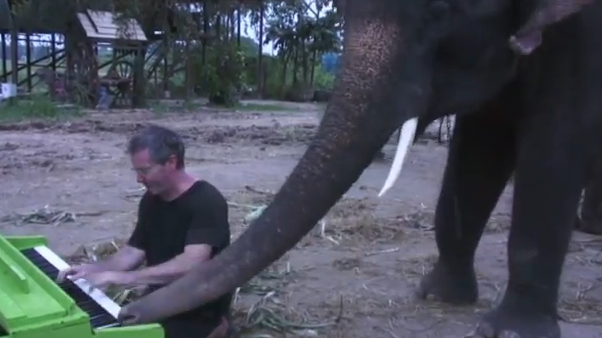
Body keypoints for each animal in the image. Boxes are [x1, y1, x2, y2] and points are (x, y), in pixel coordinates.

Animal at [117, 0, 600, 338]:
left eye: (440, 10)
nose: (126, 312)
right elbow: (478, 150)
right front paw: (440, 296)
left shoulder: (581, 37)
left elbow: (556, 145)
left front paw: (512, 331)